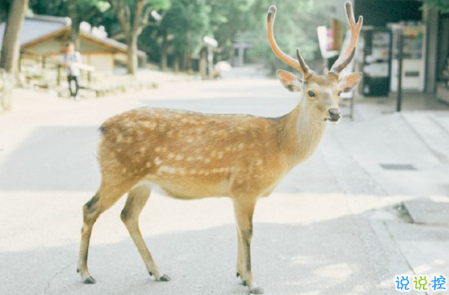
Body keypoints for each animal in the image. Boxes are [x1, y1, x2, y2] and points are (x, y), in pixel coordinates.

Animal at [77, 1, 362, 294]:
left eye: (339, 91)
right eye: (311, 92)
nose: (335, 113)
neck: (280, 147)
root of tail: (102, 129)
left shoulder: (236, 191)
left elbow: (237, 228)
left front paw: (240, 274)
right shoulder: (246, 185)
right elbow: (247, 230)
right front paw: (253, 282)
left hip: (141, 182)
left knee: (128, 216)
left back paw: (157, 271)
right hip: (116, 172)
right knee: (89, 208)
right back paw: (86, 273)